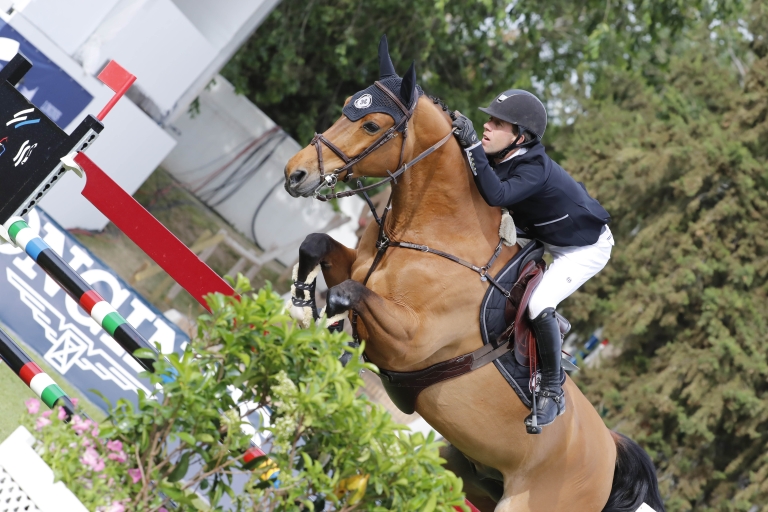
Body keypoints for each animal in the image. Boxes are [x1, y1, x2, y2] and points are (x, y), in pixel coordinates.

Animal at [283, 36, 665, 512]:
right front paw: (301, 306)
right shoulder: (357, 265)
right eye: (346, 106)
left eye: (371, 125)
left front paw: (334, 333)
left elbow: (349, 294)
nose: (295, 174)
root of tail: (609, 455)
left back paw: (546, 405)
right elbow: (316, 245)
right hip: (465, 475)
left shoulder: (409, 342)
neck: (425, 231)